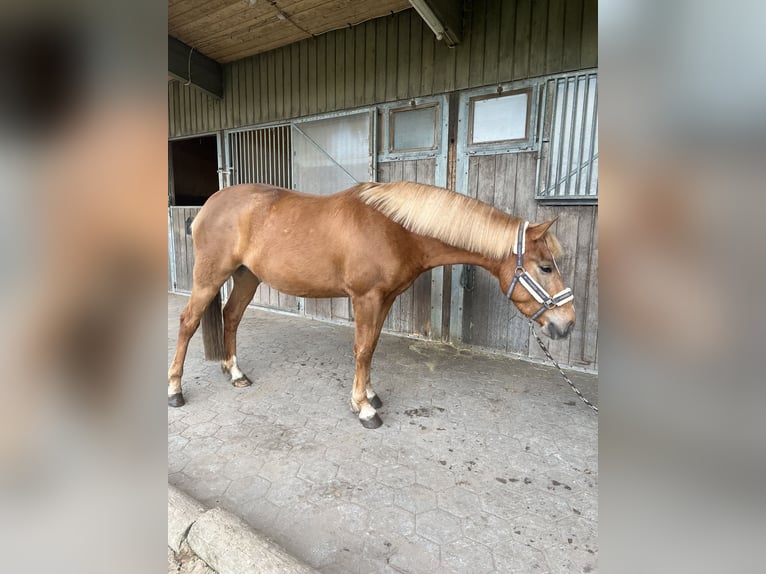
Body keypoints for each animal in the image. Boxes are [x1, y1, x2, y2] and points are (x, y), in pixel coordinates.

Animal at [168, 181, 576, 428]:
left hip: (246, 276)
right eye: (545, 266)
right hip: (210, 276)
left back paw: (235, 372)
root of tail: (209, 205)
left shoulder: (385, 299)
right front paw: (362, 408)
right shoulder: (367, 297)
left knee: (231, 316)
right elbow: (362, 350)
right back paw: (175, 391)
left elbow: (372, 345)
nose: (567, 324)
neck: (396, 229)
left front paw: (370, 395)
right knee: (187, 321)